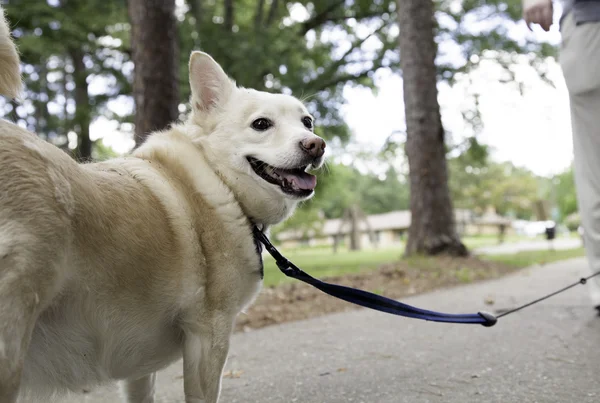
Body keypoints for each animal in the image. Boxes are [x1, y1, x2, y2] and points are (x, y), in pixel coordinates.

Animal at [0, 7, 324, 403]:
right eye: (261, 124)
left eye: (307, 122)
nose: (316, 144)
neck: (218, 179)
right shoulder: (208, 336)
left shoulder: (139, 364)